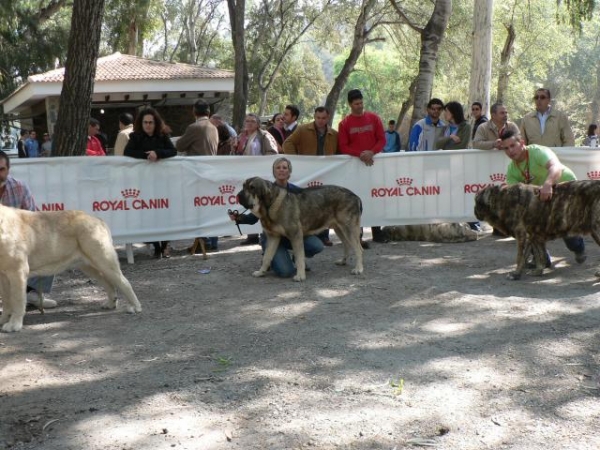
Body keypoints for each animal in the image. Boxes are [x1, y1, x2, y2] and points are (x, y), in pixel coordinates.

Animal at [0, 206, 141, 332]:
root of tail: (97, 219)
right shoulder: (4, 277)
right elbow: (7, 301)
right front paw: (4, 319)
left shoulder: (18, 272)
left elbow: (17, 300)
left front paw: (14, 324)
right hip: (88, 266)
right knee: (108, 283)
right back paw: (111, 304)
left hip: (104, 260)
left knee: (123, 282)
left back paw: (135, 307)